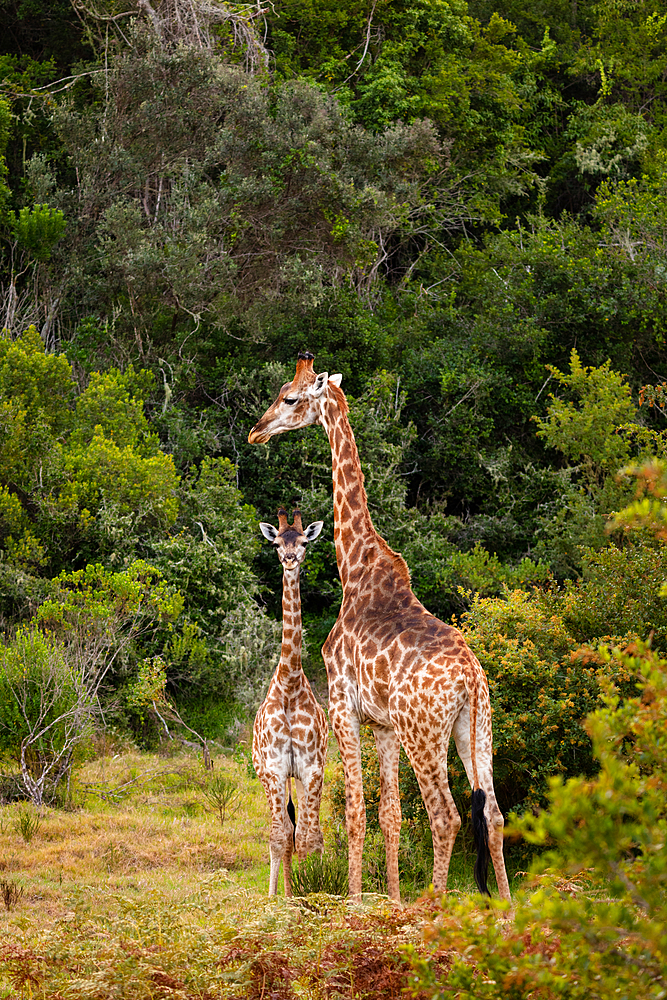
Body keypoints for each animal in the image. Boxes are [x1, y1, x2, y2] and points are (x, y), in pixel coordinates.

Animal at [250, 354, 512, 908]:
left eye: (290, 397)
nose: (256, 431)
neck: (355, 567)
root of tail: (472, 679)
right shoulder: (383, 724)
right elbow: (389, 813)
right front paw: (388, 899)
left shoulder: (343, 705)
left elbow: (355, 812)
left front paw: (353, 902)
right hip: (475, 729)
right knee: (495, 815)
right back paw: (505, 909)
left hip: (424, 731)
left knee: (446, 815)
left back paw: (434, 904)